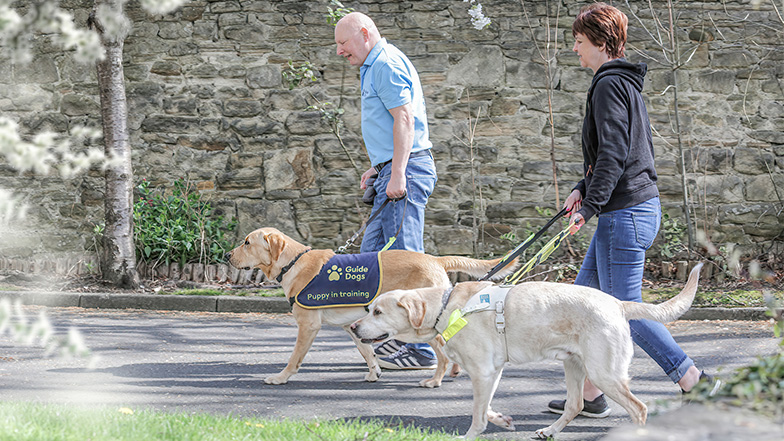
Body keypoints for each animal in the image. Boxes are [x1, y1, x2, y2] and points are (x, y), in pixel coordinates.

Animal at [227, 227, 516, 384]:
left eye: (247, 242)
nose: (227, 255)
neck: (292, 262)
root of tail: (435, 259)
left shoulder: (308, 326)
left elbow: (294, 357)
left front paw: (281, 377)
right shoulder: (352, 326)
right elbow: (366, 352)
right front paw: (374, 371)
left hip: (422, 324)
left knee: (442, 354)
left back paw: (435, 380)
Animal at [350, 262, 704, 438]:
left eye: (377, 312)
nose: (353, 327)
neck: (446, 307)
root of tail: (618, 303)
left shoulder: (482, 372)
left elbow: (477, 414)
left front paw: (471, 434)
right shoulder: (491, 372)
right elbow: (486, 408)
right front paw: (503, 421)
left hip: (604, 372)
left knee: (639, 408)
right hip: (575, 366)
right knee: (575, 405)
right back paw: (549, 431)